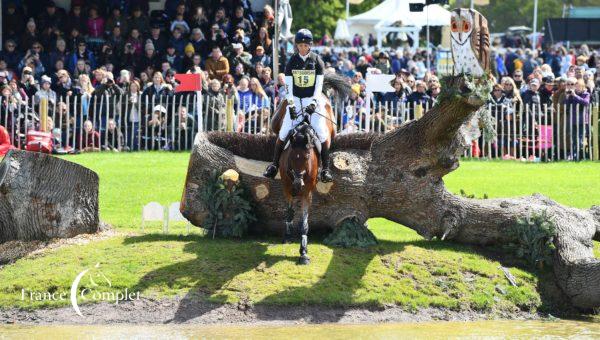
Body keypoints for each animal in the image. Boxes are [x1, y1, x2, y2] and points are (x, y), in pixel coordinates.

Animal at [270, 73, 352, 264]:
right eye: (291, 157)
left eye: (307, 157)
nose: (298, 184)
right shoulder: (287, 186)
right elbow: (290, 212)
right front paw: (287, 236)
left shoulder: (307, 191)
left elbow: (305, 222)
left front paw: (304, 252)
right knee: (278, 134)